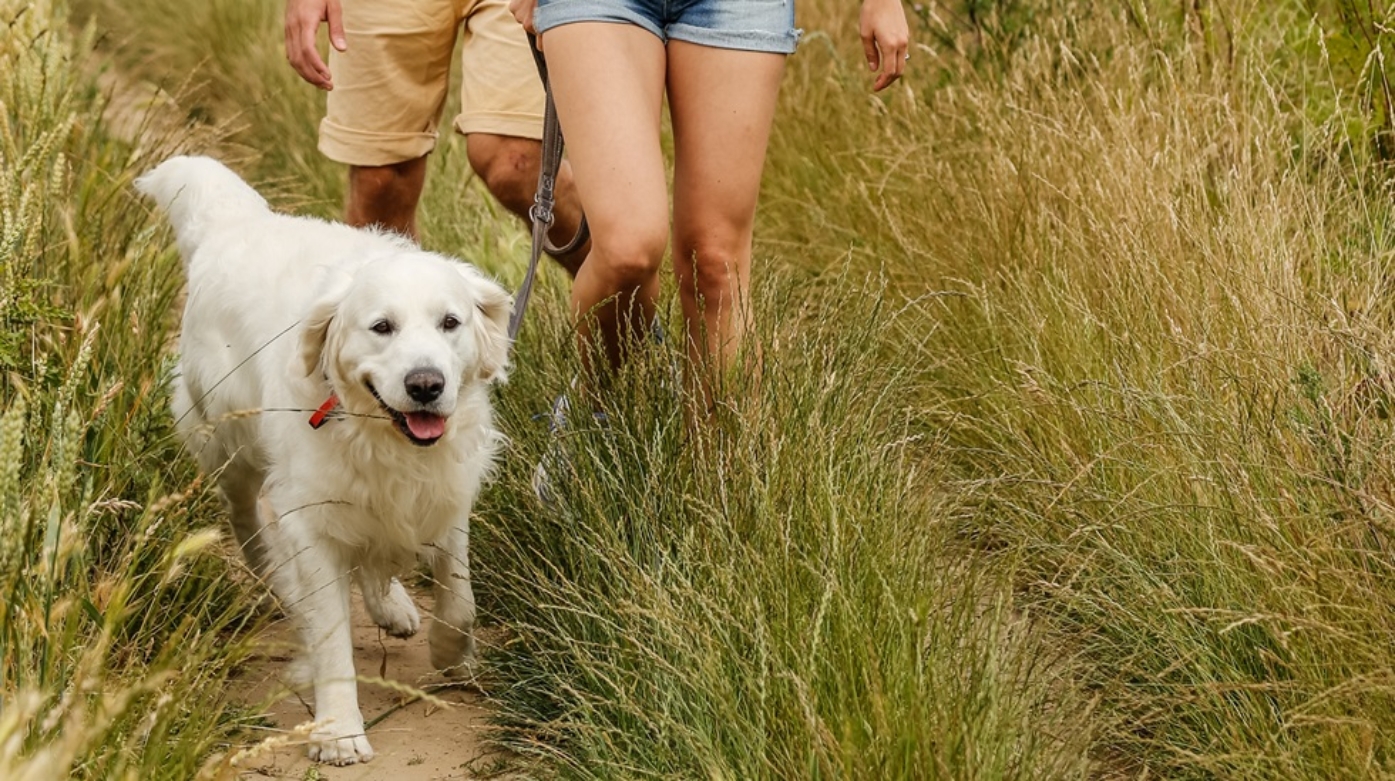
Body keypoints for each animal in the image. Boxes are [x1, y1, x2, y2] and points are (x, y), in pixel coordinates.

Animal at [136, 155, 513, 764]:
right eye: (381, 327)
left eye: (450, 323)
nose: (426, 384)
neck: (379, 436)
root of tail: (236, 222)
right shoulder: (311, 517)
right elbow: (332, 634)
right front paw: (338, 731)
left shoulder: (443, 497)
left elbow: (459, 599)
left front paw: (451, 656)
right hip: (229, 445)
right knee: (246, 518)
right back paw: (276, 574)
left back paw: (393, 607)